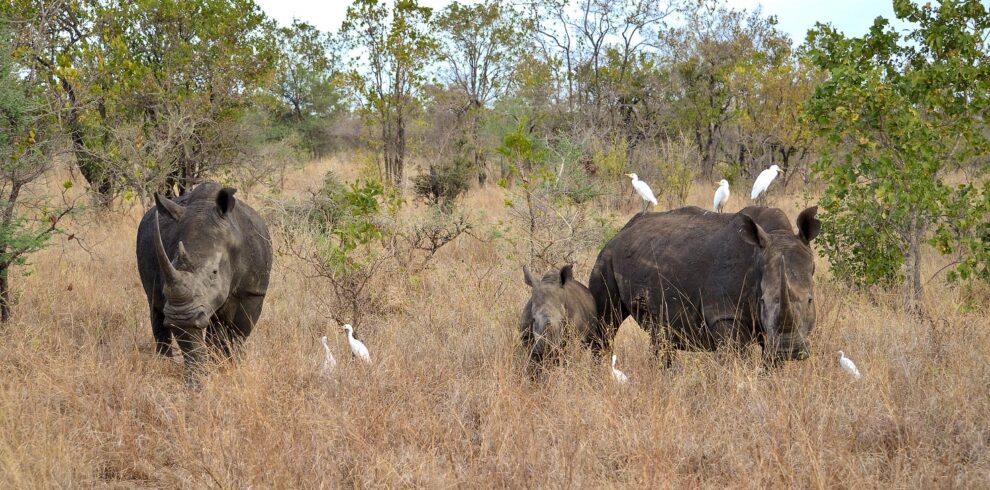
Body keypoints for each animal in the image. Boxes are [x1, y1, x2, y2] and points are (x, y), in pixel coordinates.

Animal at [136, 183, 273, 380]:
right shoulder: (182, 305)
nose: (181, 316)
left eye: (214, 272)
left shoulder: (253, 291)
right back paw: (164, 364)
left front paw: (230, 367)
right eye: (171, 264)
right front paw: (197, 379)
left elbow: (238, 333)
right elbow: (191, 344)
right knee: (155, 306)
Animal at [586, 206, 821, 366]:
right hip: (606, 255)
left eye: (810, 300)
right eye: (763, 301)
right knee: (605, 324)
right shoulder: (724, 313)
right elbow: (737, 360)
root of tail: (622, 230)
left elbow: (771, 365)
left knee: (660, 336)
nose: (789, 351)